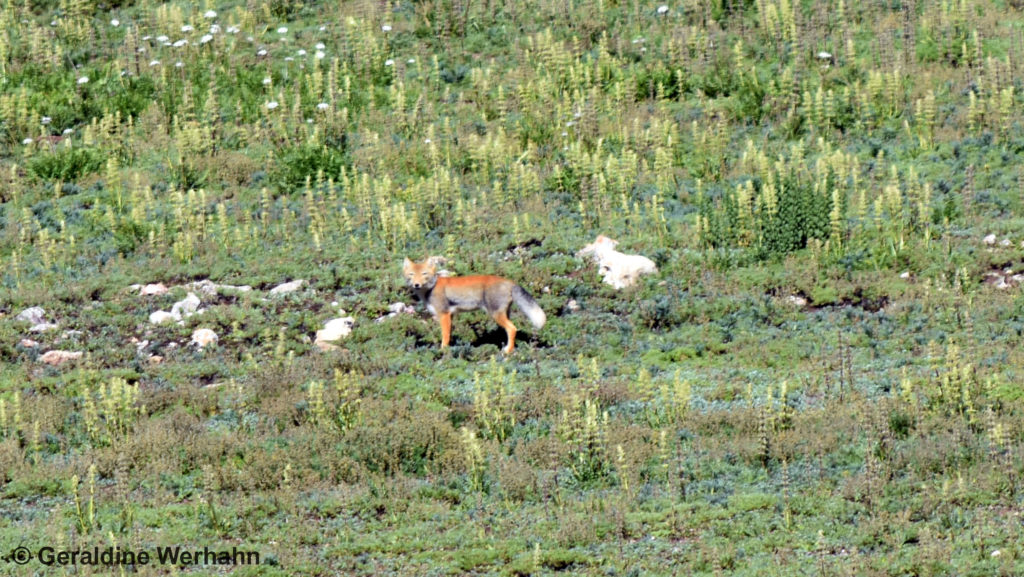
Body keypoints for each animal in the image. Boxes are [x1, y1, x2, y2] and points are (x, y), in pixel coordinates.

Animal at [403, 257, 547, 354]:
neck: (431, 288)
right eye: (412, 274)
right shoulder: (450, 315)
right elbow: (450, 334)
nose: (416, 284)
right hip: (504, 314)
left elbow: (445, 335)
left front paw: (443, 351)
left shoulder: (444, 315)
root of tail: (510, 282)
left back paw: (508, 351)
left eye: (424, 274)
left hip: (496, 315)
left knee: (512, 329)